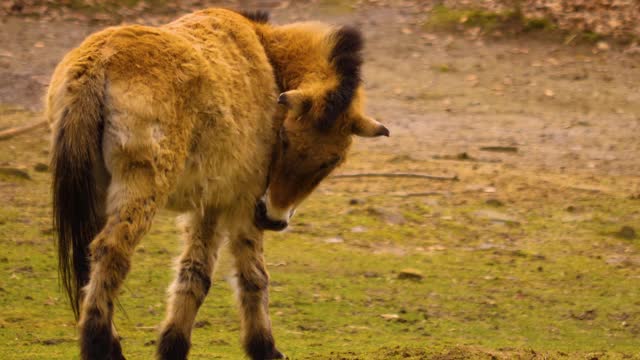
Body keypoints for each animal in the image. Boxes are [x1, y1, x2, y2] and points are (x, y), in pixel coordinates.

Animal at [47, 8, 388, 360]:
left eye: (331, 162)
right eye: (284, 139)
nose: (273, 218)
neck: (268, 56)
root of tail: (99, 61)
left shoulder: (209, 205)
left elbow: (195, 273)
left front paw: (173, 345)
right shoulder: (243, 203)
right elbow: (253, 276)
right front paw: (264, 348)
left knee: (88, 257)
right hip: (142, 190)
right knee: (110, 251)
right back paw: (100, 345)